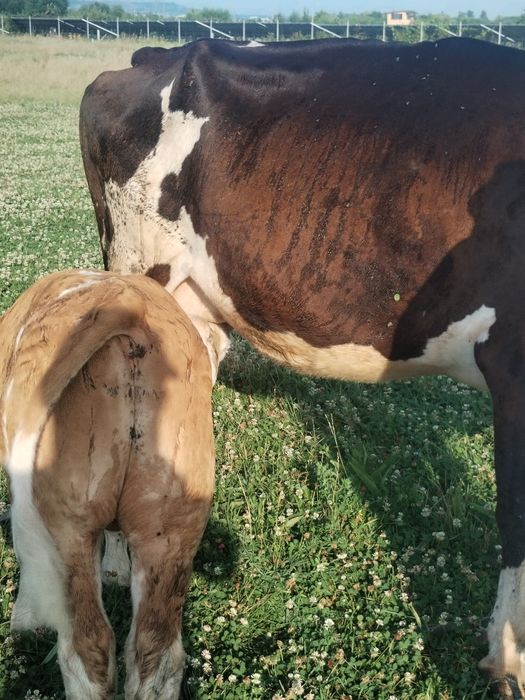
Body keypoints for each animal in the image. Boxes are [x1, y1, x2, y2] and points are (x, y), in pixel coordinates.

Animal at [0, 270, 216, 699]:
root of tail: (130, 301)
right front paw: (116, 571)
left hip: (68, 528)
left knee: (88, 647)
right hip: (172, 525)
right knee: (157, 652)